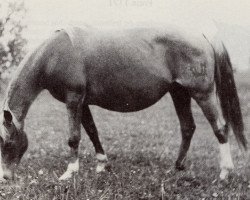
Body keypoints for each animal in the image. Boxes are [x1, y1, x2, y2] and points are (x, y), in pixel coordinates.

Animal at [0, 25, 246, 181]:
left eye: (8, 144)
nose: (5, 177)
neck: (54, 54)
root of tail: (202, 36)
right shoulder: (82, 103)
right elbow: (92, 131)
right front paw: (102, 164)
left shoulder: (73, 99)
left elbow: (74, 137)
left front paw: (70, 172)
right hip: (179, 93)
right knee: (188, 127)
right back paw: (176, 167)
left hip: (202, 93)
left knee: (220, 128)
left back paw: (225, 173)